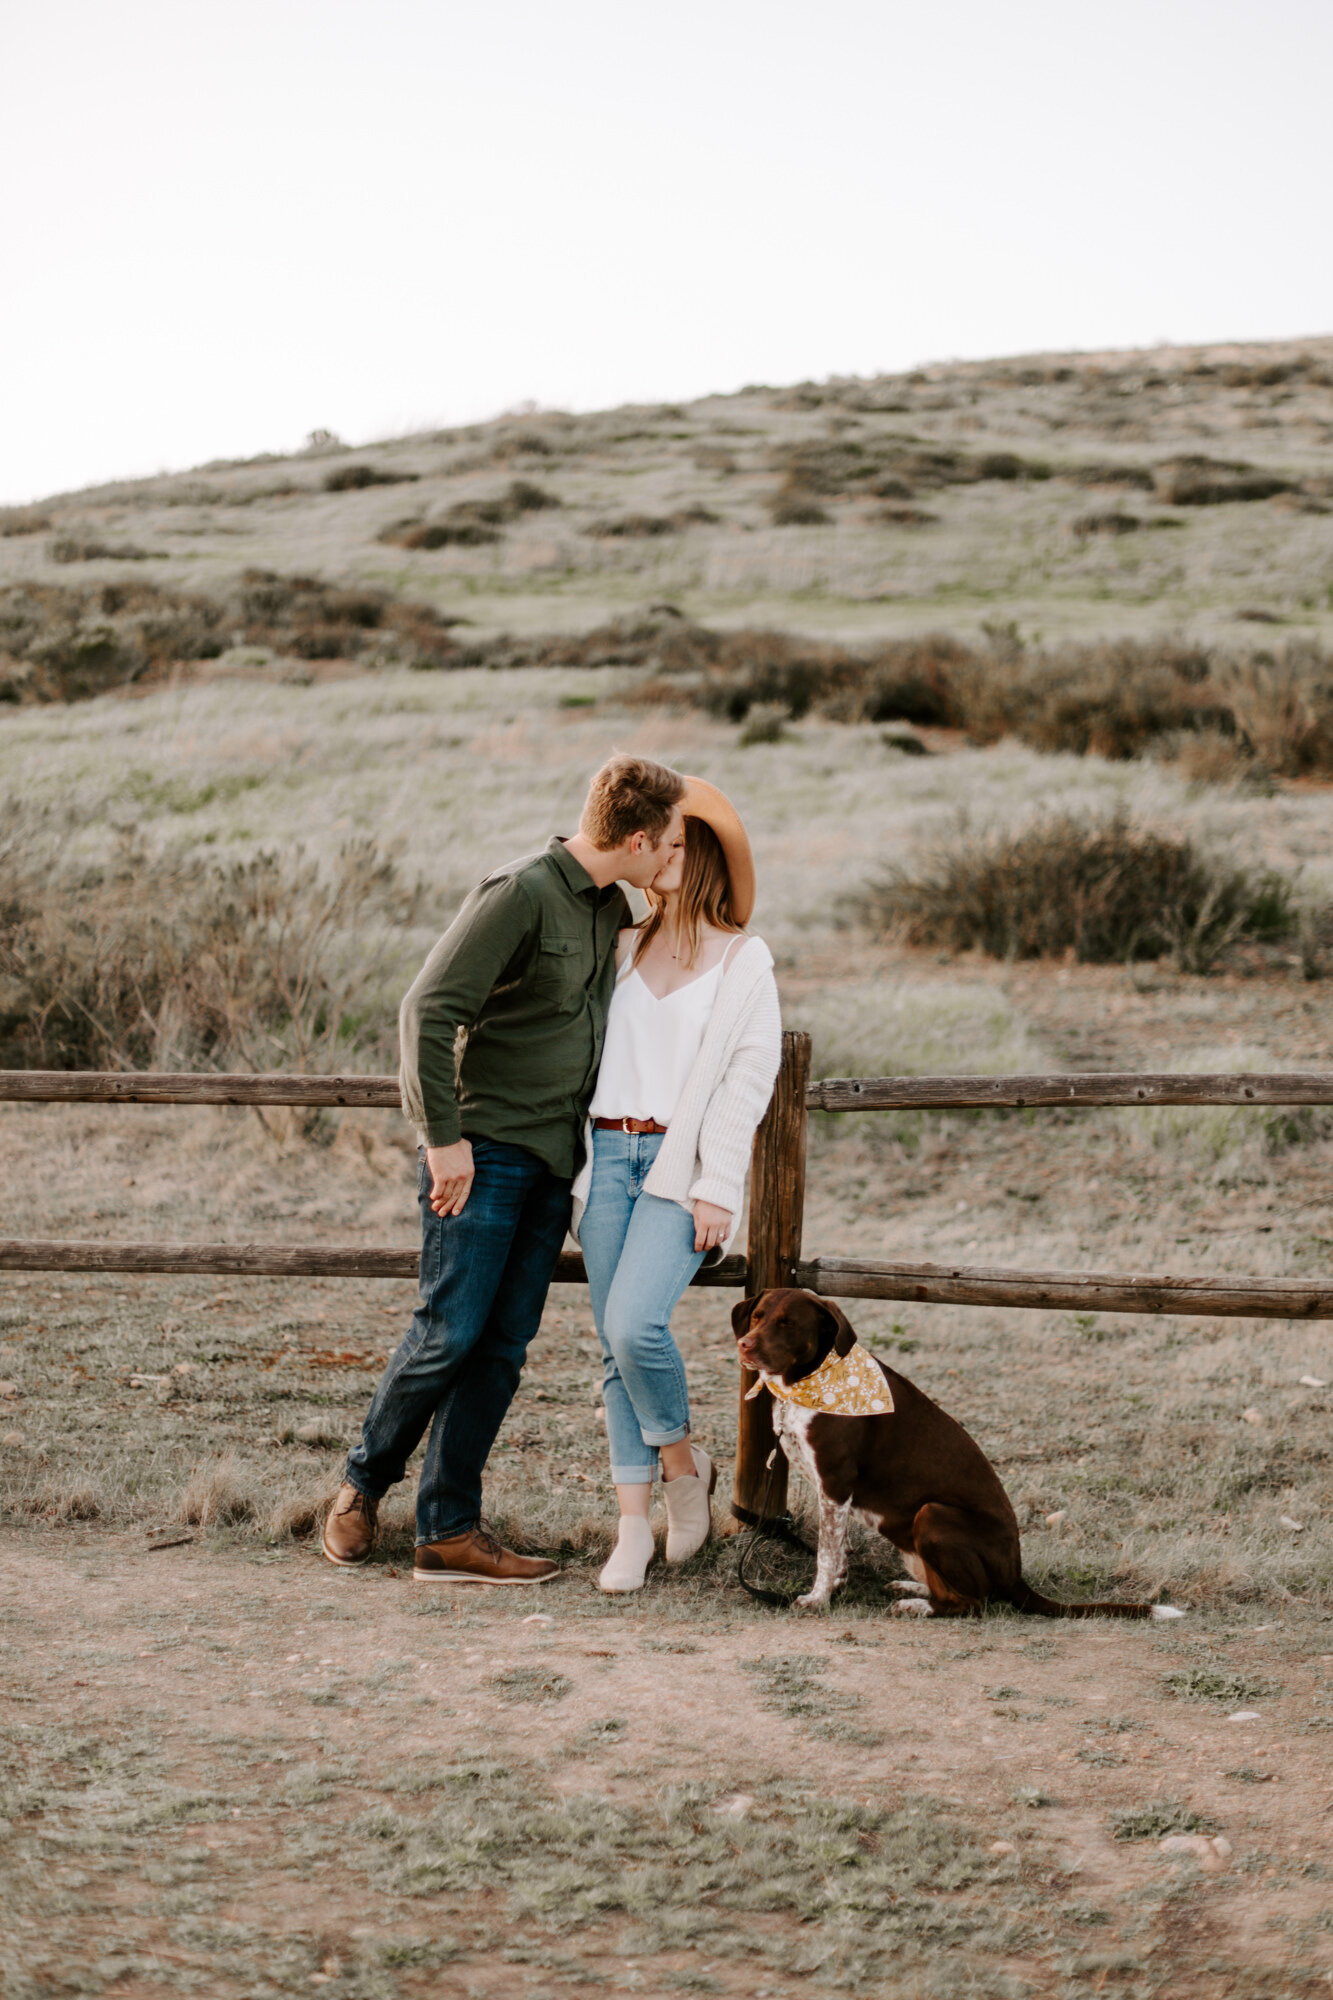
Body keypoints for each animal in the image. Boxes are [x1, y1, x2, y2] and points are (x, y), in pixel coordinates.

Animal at [732, 1280, 1176, 1624]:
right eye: (758, 1316)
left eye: (788, 1323)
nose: (745, 1345)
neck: (811, 1380)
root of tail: (1015, 1575)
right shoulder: (831, 1495)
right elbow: (836, 1550)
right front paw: (837, 1585)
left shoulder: (836, 1484)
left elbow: (826, 1553)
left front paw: (818, 1598)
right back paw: (914, 1587)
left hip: (932, 1514)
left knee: (972, 1603)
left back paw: (917, 1605)